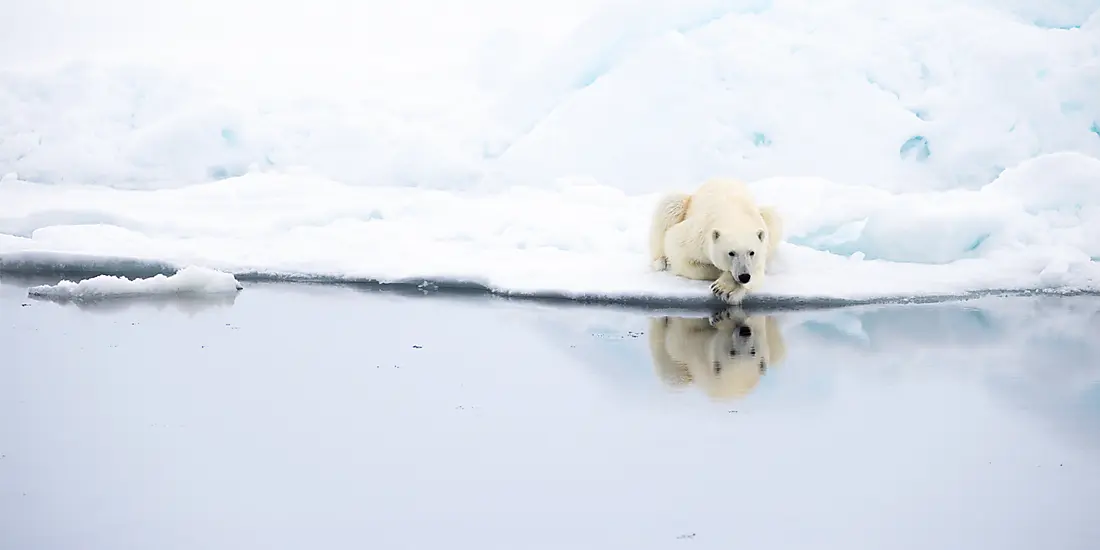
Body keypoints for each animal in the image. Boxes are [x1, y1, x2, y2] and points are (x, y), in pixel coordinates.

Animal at [651, 177, 783, 303]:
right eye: (731, 253)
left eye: (751, 252)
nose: (744, 276)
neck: (733, 215)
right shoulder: (697, 234)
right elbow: (677, 248)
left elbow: (757, 271)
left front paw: (725, 288)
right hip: (685, 203)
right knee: (670, 204)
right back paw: (661, 261)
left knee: (772, 216)